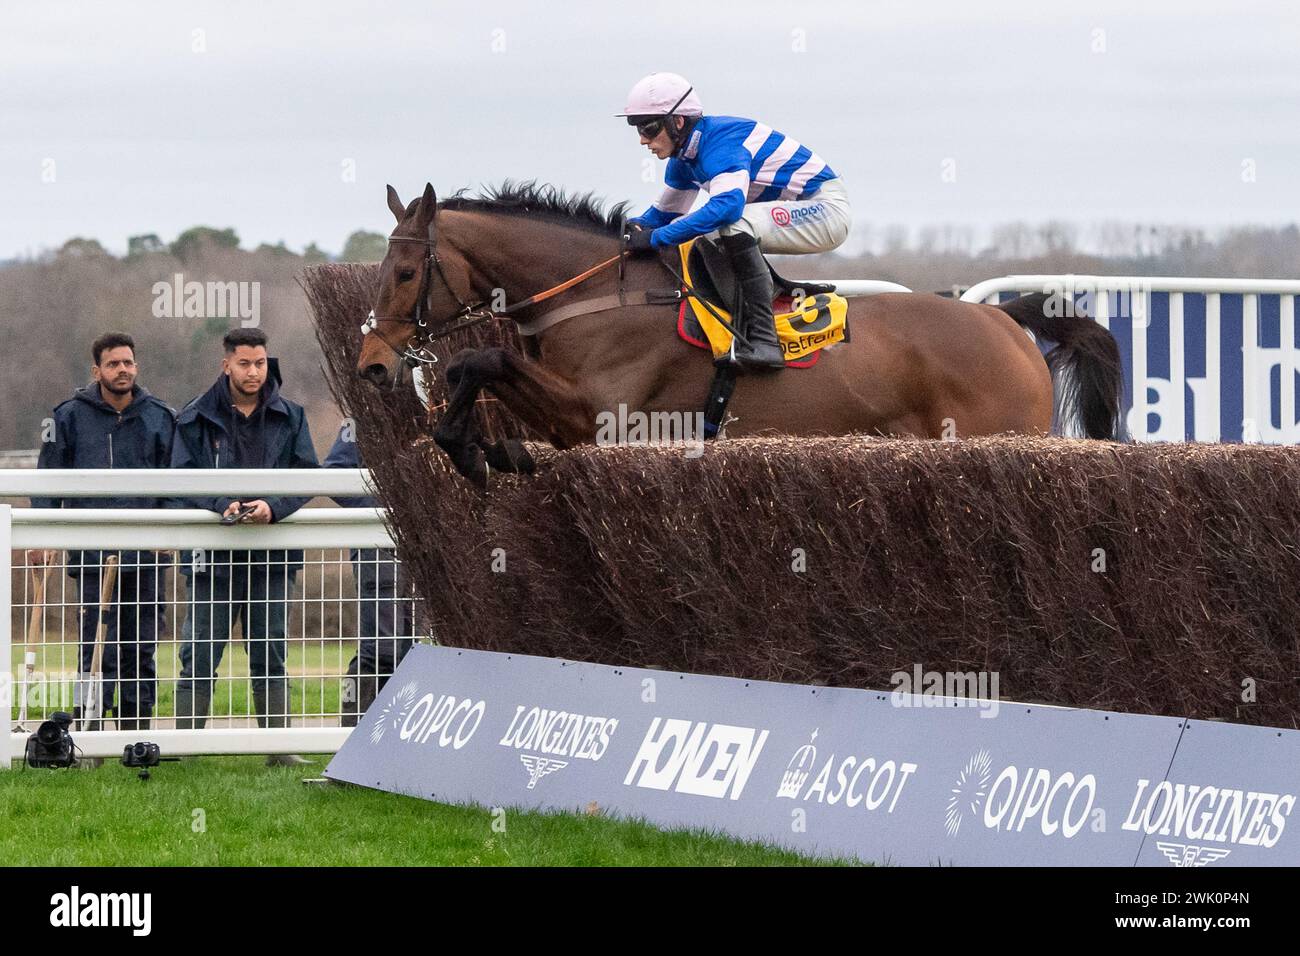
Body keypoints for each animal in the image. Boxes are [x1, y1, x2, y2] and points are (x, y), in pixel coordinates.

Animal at [356, 182, 1118, 486]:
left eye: (404, 271)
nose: (371, 365)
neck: (596, 293)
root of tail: (1004, 319)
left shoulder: (602, 417)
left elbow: (478, 360)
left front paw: (472, 451)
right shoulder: (575, 422)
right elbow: (479, 371)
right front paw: (488, 448)